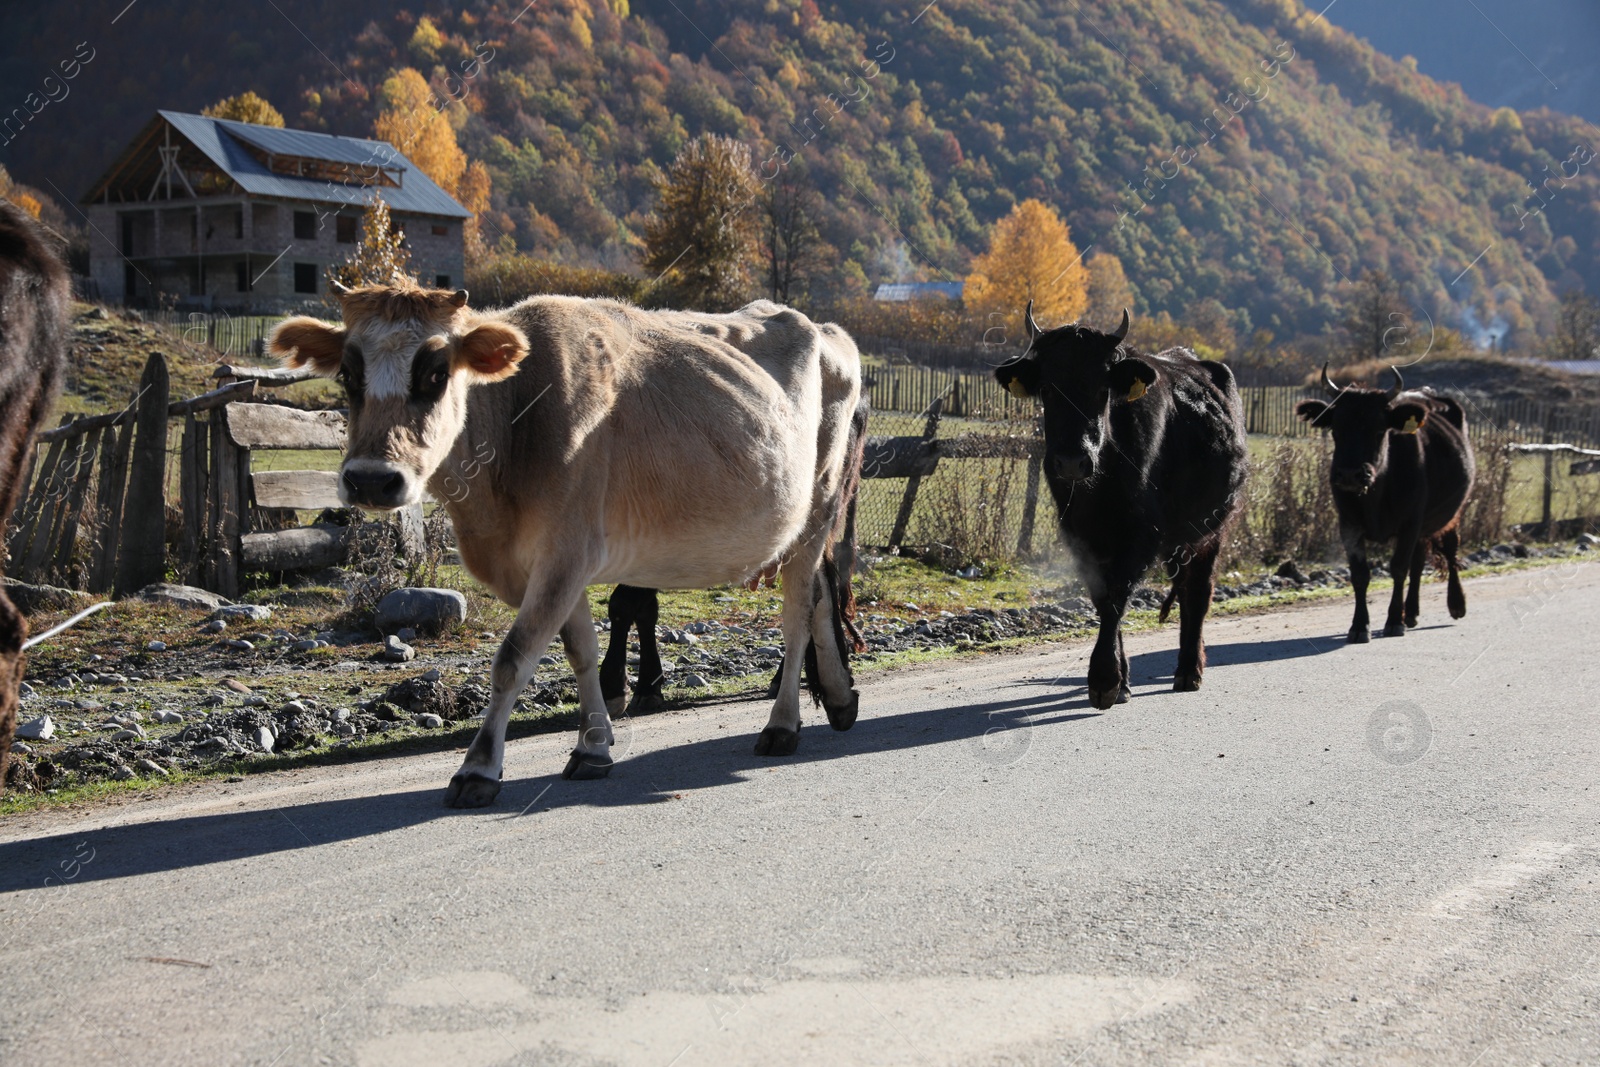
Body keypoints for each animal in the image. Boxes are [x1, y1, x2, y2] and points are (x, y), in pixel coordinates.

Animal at [272, 283, 864, 809]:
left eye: (436, 374)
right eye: (348, 374)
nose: (372, 480)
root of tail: (826, 329)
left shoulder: (567, 551)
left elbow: (514, 658)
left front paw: (478, 768)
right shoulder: (557, 563)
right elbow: (580, 649)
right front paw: (594, 747)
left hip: (817, 506)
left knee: (796, 614)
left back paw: (783, 724)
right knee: (819, 595)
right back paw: (839, 697)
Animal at [998, 307, 1248, 710]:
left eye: (1103, 391)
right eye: (1048, 390)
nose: (1072, 461)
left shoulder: (1142, 534)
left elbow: (1117, 596)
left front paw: (1104, 681)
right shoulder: (1079, 536)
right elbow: (1102, 599)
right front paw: (1121, 681)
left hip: (1212, 529)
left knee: (1197, 592)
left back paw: (1189, 671)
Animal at [1292, 367, 1465, 643]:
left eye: (1379, 430)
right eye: (1336, 429)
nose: (1350, 475)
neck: (1375, 496)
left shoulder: (1409, 523)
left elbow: (1398, 568)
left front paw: (1394, 621)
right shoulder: (1349, 525)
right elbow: (1360, 574)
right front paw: (1359, 625)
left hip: (1451, 515)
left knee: (1449, 549)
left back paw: (1456, 604)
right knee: (1419, 561)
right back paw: (1411, 612)